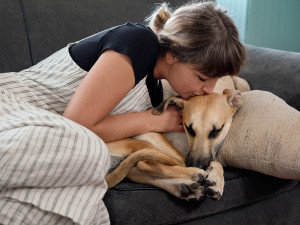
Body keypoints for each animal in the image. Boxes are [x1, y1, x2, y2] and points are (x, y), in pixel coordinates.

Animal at [105, 87, 244, 201]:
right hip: (143, 144)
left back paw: (186, 188)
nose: (196, 165)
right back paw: (194, 175)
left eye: (216, 130)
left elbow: (216, 161)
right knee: (145, 163)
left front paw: (216, 179)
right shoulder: (150, 134)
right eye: (189, 128)